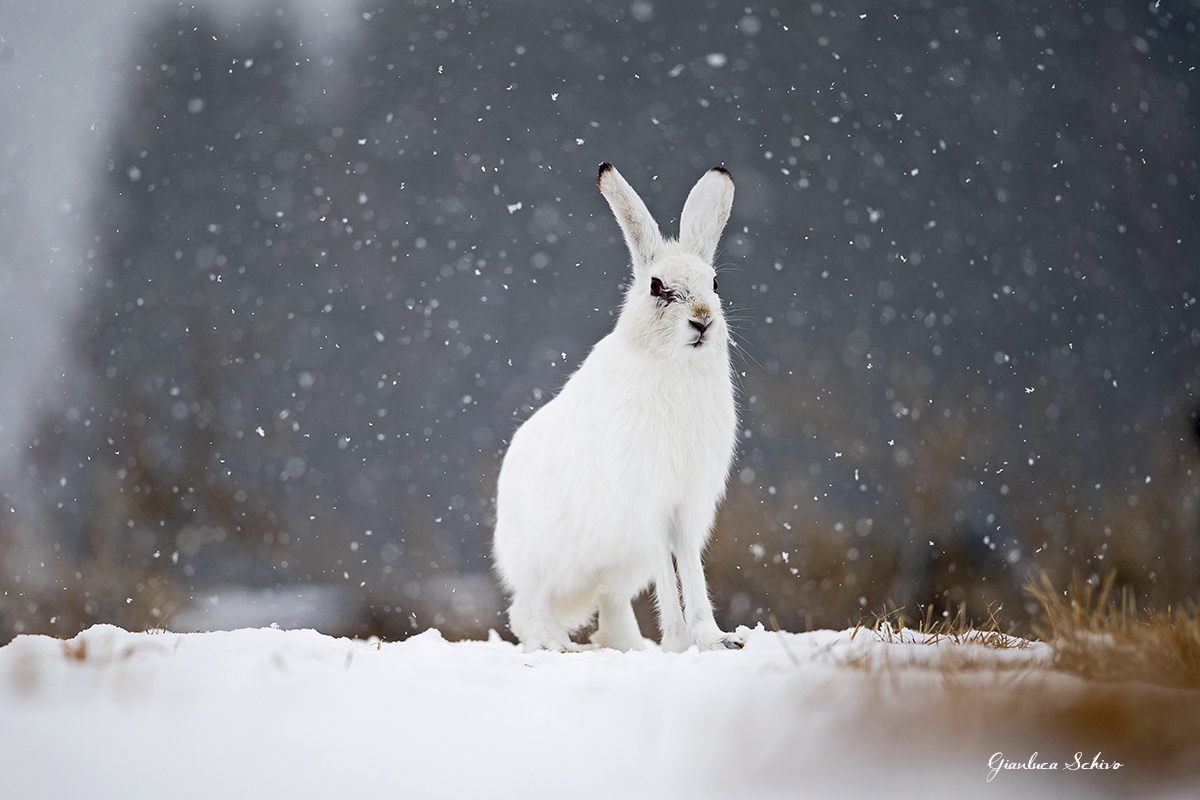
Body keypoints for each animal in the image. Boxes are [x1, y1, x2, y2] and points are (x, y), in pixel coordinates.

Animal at [492, 162, 742, 653]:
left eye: (715, 283)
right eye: (657, 287)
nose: (703, 321)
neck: (674, 367)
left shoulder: (688, 507)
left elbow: (691, 568)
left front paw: (713, 639)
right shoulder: (649, 503)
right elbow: (669, 570)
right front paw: (681, 643)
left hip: (620, 567)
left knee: (610, 607)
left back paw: (634, 646)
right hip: (543, 561)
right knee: (527, 609)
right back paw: (558, 645)